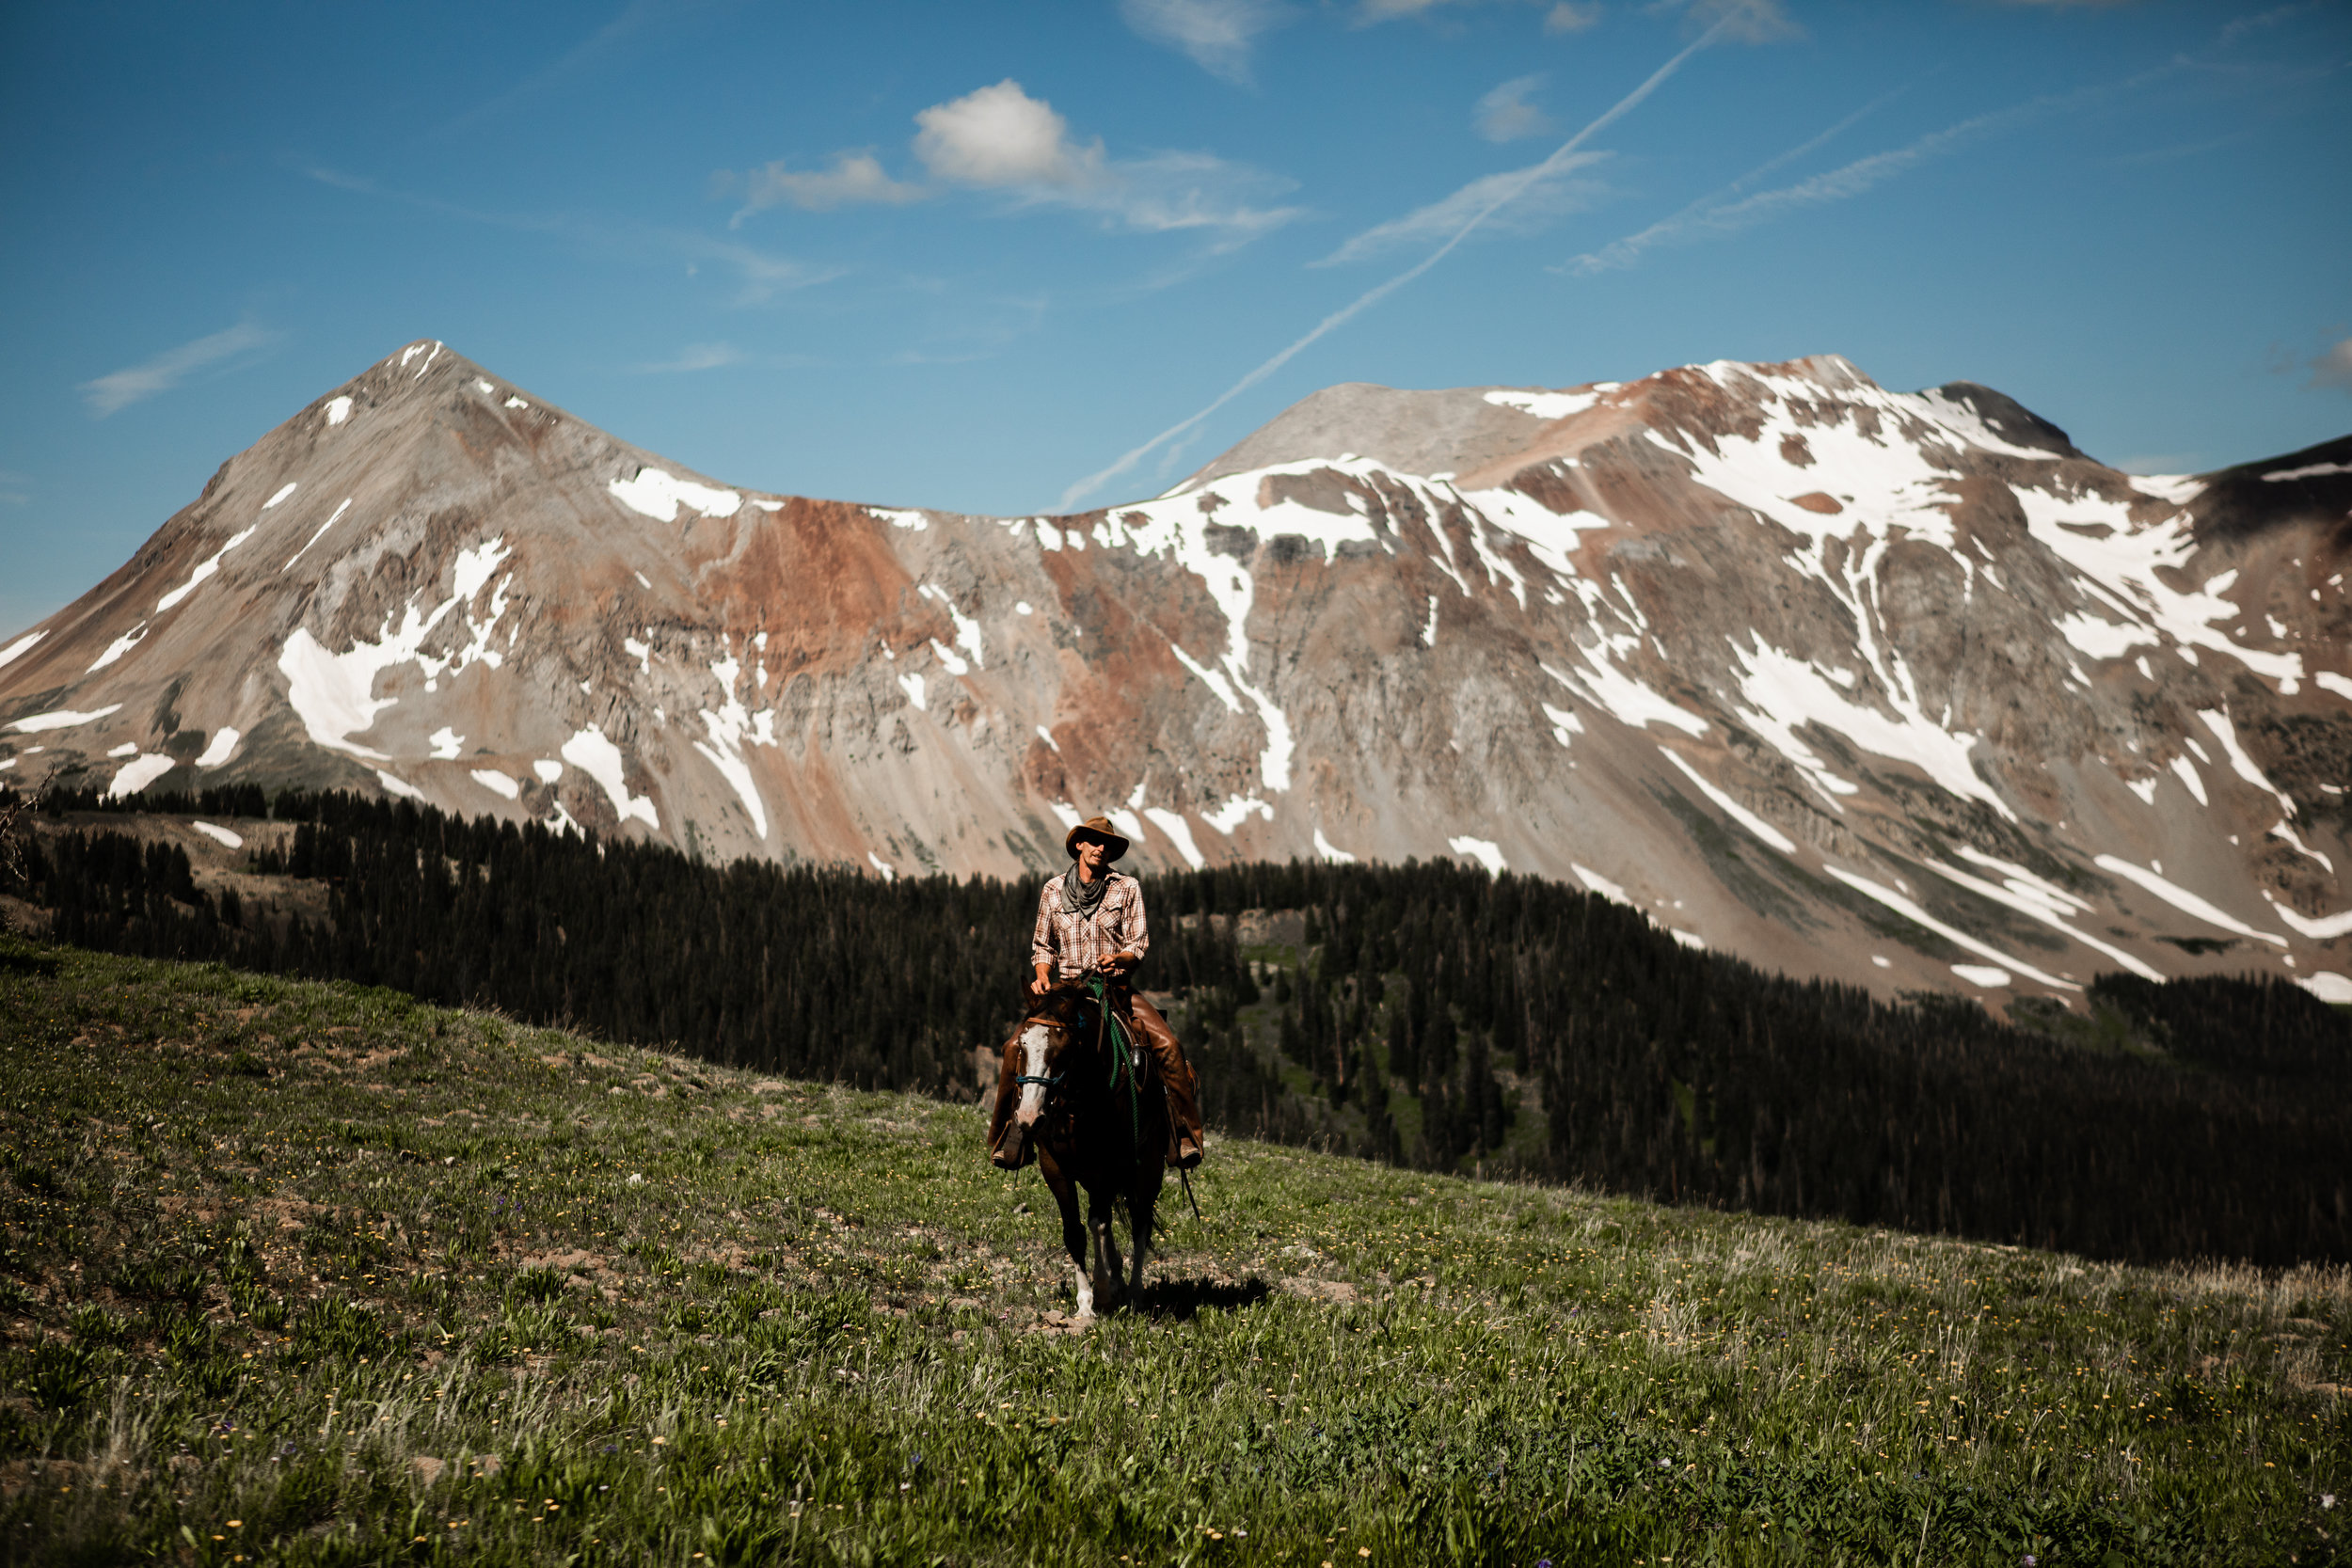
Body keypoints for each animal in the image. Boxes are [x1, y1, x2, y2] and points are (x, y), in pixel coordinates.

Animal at [1002, 987, 1167, 1316]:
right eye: (1022, 1046)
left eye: (1064, 1050)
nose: (1029, 1117)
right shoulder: (1055, 1167)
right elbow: (1075, 1231)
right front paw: (1085, 1302)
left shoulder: (1110, 1166)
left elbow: (1098, 1223)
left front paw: (1102, 1291)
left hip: (1148, 1170)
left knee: (1140, 1225)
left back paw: (1133, 1293)